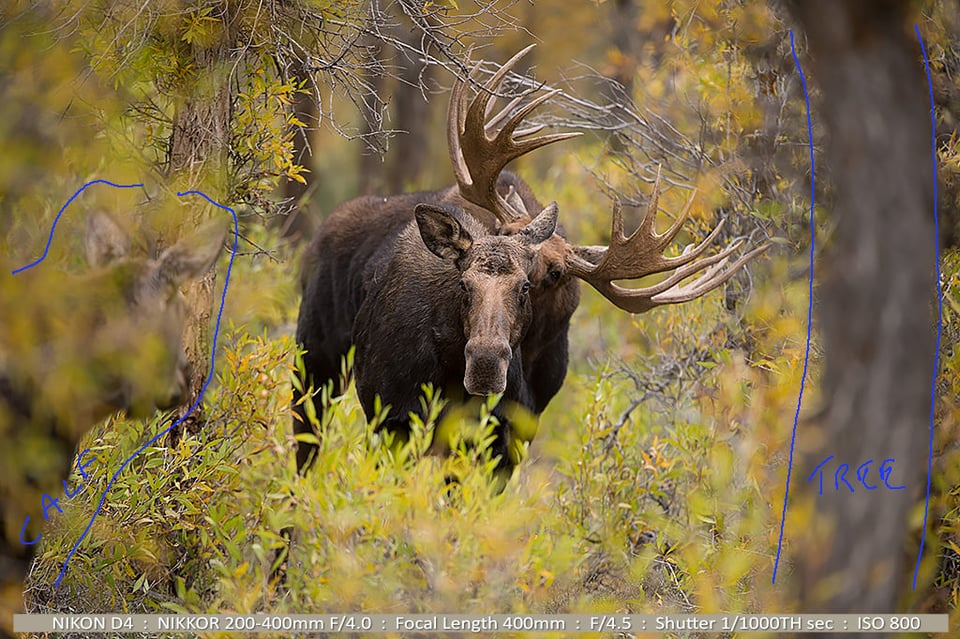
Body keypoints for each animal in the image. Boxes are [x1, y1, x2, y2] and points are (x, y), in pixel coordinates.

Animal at [292, 46, 764, 480]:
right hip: (315, 358)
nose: (486, 364)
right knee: (304, 450)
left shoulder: (509, 440)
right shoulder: (391, 415)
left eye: (540, 280)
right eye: (462, 284)